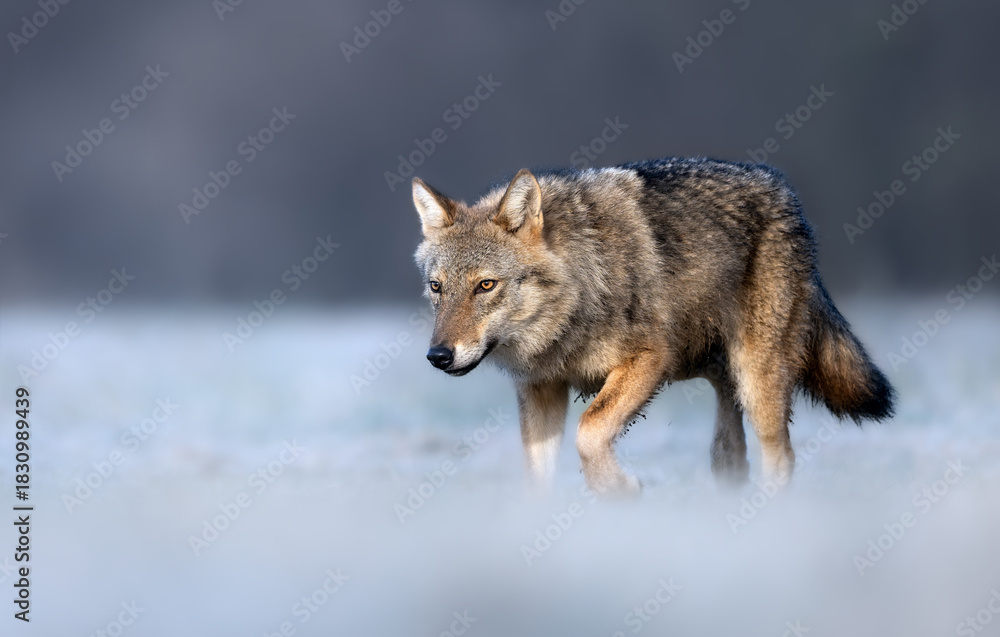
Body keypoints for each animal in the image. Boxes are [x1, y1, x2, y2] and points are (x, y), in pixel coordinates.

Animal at [411, 157, 895, 496]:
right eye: (437, 287)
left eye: (485, 285)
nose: (438, 356)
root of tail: (782, 190)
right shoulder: (541, 390)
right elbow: (537, 480)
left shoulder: (648, 359)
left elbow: (590, 430)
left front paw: (618, 490)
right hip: (712, 371)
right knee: (730, 454)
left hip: (756, 380)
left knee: (781, 459)